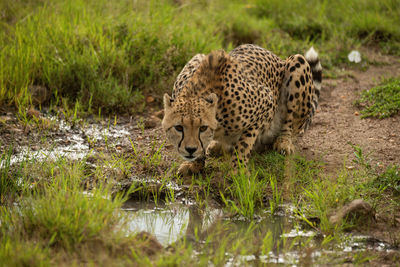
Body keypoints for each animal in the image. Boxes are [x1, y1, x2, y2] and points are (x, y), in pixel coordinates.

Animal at [162, 44, 322, 177]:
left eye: (202, 128)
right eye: (178, 128)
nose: (190, 150)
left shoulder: (266, 101)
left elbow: (244, 143)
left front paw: (238, 170)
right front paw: (195, 164)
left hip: (298, 62)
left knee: (291, 125)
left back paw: (283, 142)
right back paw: (216, 145)